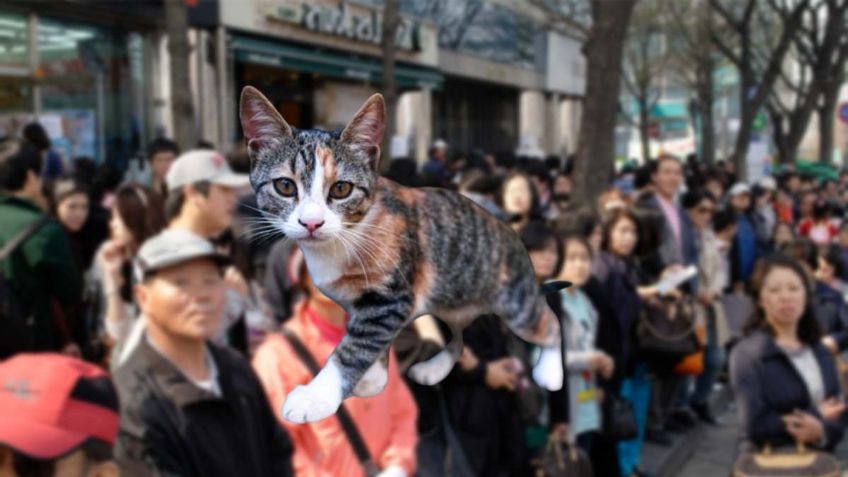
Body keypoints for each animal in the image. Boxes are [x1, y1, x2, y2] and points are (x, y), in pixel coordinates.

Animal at [240, 86, 568, 424]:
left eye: (342, 189)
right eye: (284, 186)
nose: (311, 222)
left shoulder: (391, 297)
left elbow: (355, 347)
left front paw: (318, 395)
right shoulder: (368, 306)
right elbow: (372, 342)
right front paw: (372, 380)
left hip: (514, 303)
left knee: (548, 322)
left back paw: (551, 370)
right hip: (452, 297)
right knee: (459, 335)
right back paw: (435, 368)